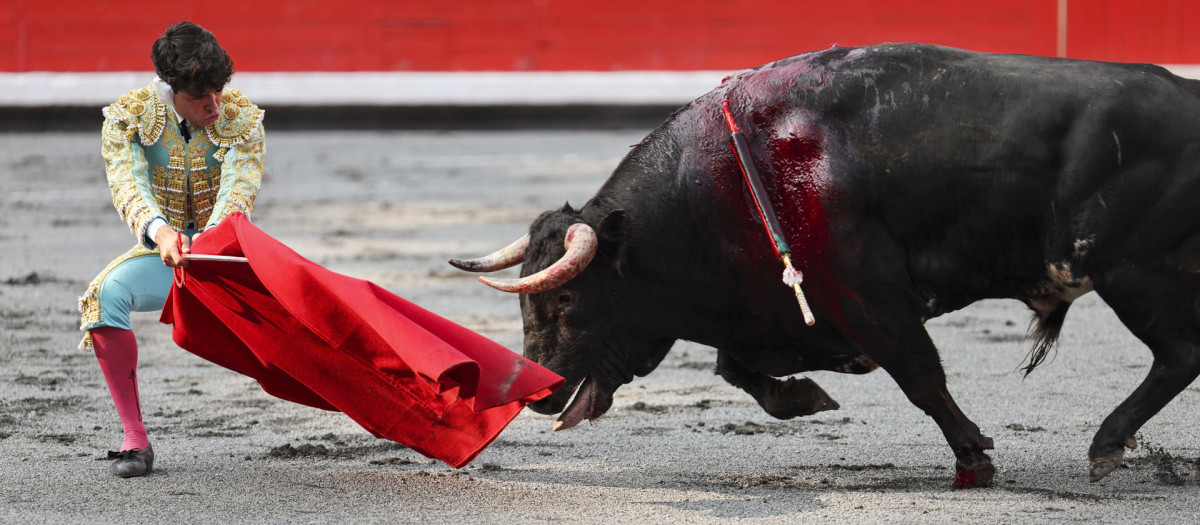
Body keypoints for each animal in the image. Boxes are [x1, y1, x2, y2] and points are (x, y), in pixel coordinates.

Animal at [451, 44, 1200, 489]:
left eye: (566, 302)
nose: (536, 391)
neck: (726, 183)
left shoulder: (870, 297)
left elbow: (921, 377)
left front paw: (973, 459)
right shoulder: (776, 311)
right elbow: (735, 367)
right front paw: (808, 396)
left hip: (1133, 272)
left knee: (1179, 353)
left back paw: (1106, 444)